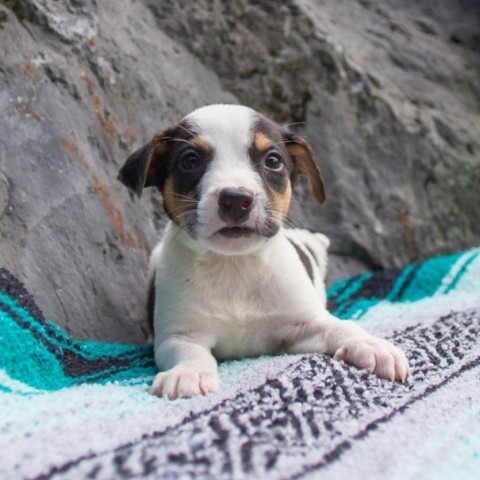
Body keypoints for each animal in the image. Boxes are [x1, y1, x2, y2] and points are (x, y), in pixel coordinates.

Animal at [118, 106, 410, 402]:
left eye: (273, 160)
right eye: (190, 160)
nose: (236, 199)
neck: (234, 266)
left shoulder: (305, 325)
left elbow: (342, 327)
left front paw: (371, 344)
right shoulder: (179, 335)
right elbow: (190, 351)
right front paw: (189, 373)